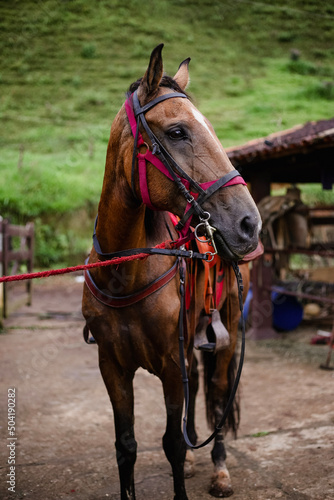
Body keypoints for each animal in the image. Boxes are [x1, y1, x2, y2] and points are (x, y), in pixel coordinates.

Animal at [82, 44, 262, 500]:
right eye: (178, 132)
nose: (249, 224)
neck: (124, 274)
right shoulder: (112, 366)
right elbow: (126, 446)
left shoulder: (169, 363)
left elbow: (171, 445)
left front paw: (193, 461)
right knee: (199, 383)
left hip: (228, 327)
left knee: (217, 390)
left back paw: (219, 467)